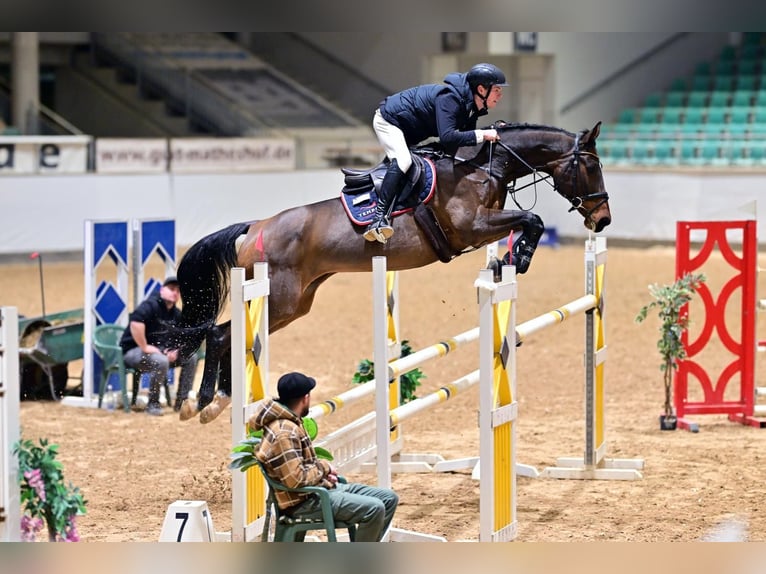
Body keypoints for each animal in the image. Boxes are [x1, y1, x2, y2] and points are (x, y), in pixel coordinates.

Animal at [174, 121, 611, 423]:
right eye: (592, 166)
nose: (603, 219)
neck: (481, 166)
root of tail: (255, 228)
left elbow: (527, 222)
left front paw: (511, 259)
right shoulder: (472, 226)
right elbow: (533, 218)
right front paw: (519, 257)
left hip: (295, 303)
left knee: (231, 337)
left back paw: (220, 401)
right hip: (277, 297)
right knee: (221, 335)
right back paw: (203, 403)